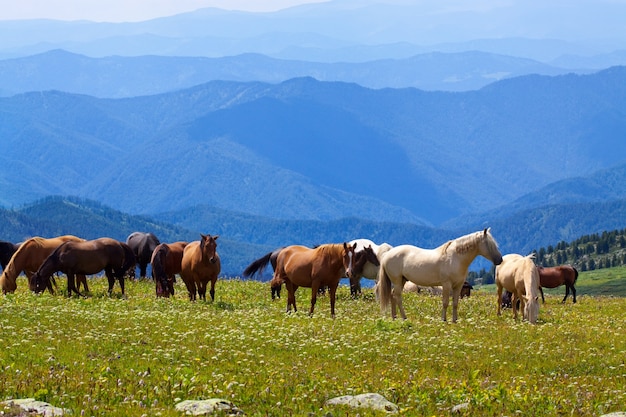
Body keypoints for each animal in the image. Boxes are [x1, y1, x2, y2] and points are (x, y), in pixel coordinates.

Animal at [372, 228, 500, 322]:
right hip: (397, 281)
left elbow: (455, 303)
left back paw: (394, 317)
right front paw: (444, 320)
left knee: (392, 295)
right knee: (397, 296)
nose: (499, 260)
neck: (456, 258)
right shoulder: (446, 284)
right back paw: (404, 317)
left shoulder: (458, 285)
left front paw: (455, 320)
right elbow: (445, 302)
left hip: (402, 280)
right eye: (488, 244)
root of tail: (388, 254)